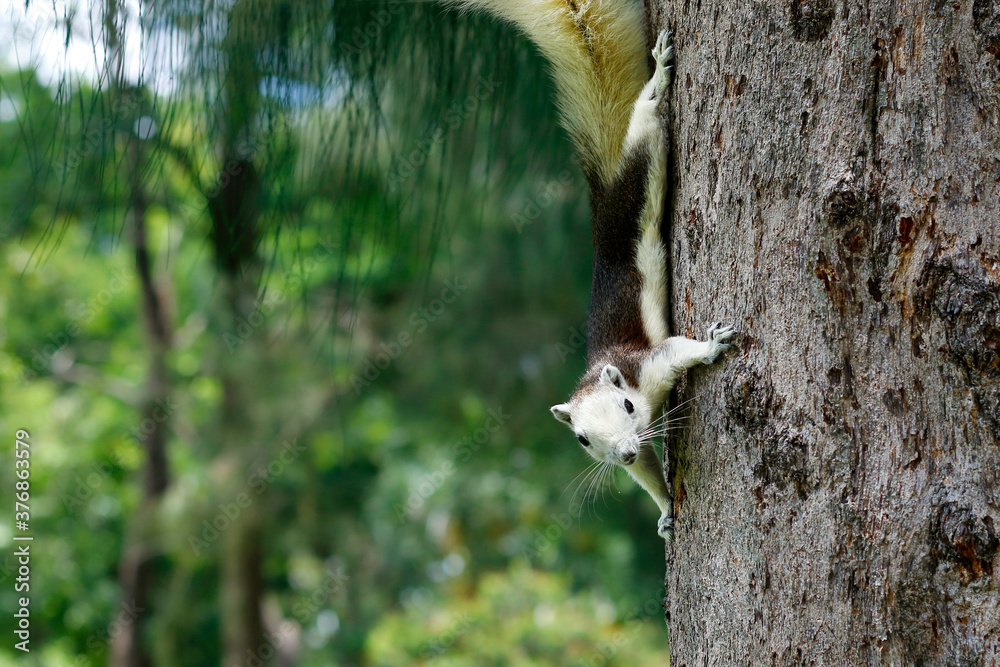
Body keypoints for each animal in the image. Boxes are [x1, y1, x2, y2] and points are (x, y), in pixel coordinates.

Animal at [446, 0, 736, 540]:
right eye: (582, 440)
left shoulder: (649, 364)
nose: (620, 451)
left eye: (627, 406)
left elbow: (680, 351)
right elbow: (647, 470)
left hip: (639, 173)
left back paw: (659, 77)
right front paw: (665, 510)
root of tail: (604, 195)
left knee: (646, 129)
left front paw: (712, 345)